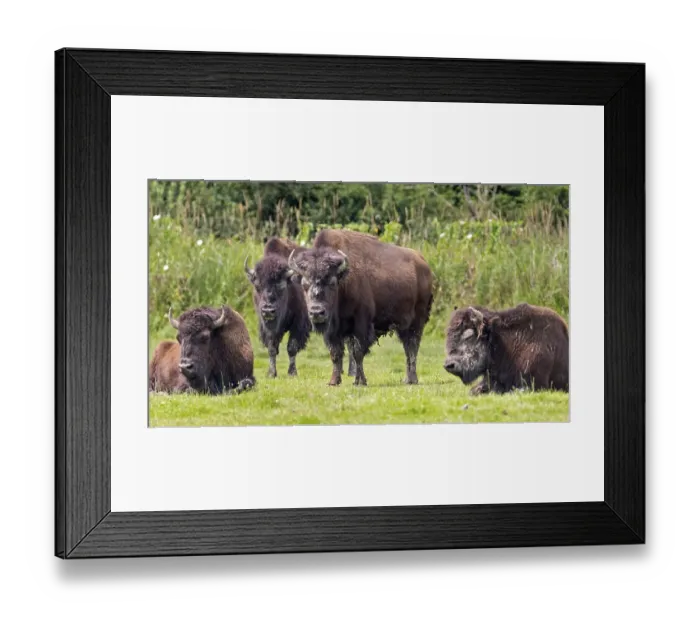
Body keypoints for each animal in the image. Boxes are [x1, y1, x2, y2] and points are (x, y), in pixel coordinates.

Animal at [245, 237, 311, 378]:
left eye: (281, 285)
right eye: (257, 286)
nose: (268, 310)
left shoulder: (298, 323)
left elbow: (292, 347)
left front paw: (292, 373)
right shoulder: (267, 326)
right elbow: (272, 348)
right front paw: (271, 373)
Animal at [288, 229, 434, 386]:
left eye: (332, 283)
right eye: (304, 284)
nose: (316, 312)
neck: (343, 281)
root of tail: (424, 265)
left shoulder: (361, 324)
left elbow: (358, 353)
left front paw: (360, 381)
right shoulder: (332, 331)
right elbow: (335, 353)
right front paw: (333, 381)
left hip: (417, 321)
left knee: (413, 347)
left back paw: (412, 379)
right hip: (403, 326)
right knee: (408, 347)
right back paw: (407, 379)